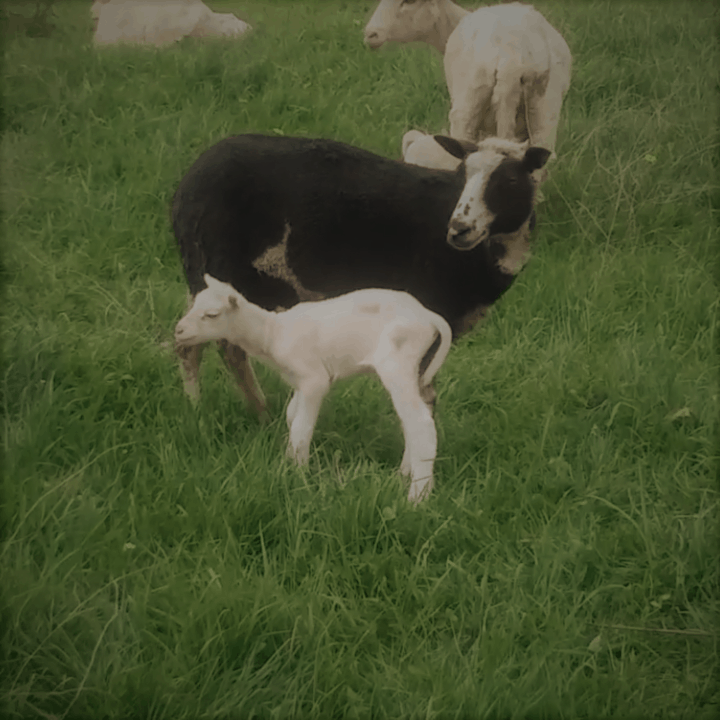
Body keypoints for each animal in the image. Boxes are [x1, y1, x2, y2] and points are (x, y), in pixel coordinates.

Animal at [173, 134, 552, 416]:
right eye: (462, 175)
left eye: (510, 180)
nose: (460, 228)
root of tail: (187, 187)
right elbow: (424, 390)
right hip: (224, 270)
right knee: (218, 346)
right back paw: (235, 410)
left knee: (195, 342)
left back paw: (211, 410)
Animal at [175, 272, 452, 504]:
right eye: (195, 303)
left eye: (212, 314)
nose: (178, 330)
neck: (271, 333)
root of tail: (429, 316)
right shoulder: (300, 380)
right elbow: (291, 415)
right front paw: (288, 461)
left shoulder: (314, 379)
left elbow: (301, 426)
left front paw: (297, 472)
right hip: (417, 366)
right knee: (415, 419)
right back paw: (406, 474)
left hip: (396, 362)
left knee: (421, 424)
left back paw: (417, 498)